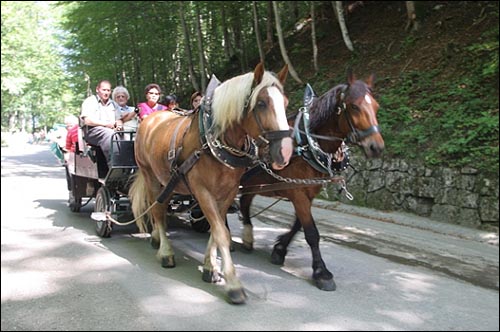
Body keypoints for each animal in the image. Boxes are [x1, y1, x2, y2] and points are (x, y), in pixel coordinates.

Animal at [129, 62, 292, 304]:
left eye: (285, 102)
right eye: (262, 103)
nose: (285, 152)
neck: (214, 140)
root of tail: (150, 119)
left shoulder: (227, 192)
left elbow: (216, 231)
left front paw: (210, 268)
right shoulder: (202, 190)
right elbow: (221, 233)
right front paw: (233, 284)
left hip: (167, 180)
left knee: (160, 207)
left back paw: (158, 238)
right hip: (150, 175)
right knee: (157, 210)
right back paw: (166, 252)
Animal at [236, 70, 384, 290]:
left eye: (376, 106)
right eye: (354, 106)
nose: (376, 147)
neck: (307, 144)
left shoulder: (308, 192)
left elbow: (299, 225)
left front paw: (280, 248)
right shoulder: (297, 193)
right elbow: (312, 232)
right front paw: (321, 272)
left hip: (251, 184)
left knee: (244, 204)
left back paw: (247, 236)